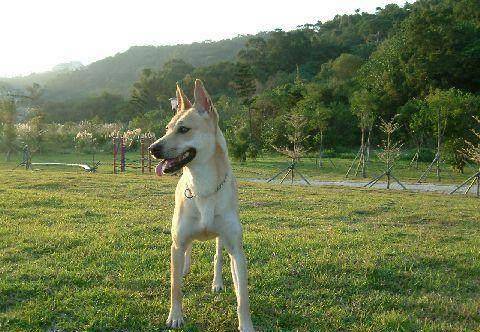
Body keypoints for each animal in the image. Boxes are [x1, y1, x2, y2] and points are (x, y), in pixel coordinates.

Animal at [149, 79, 255, 330]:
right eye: (167, 129)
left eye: (183, 129)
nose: (152, 148)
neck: (203, 186)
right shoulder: (177, 242)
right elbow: (175, 287)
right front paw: (176, 316)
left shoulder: (237, 249)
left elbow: (243, 296)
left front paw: (246, 324)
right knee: (185, 250)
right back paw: (184, 268)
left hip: (222, 238)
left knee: (218, 256)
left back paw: (217, 281)